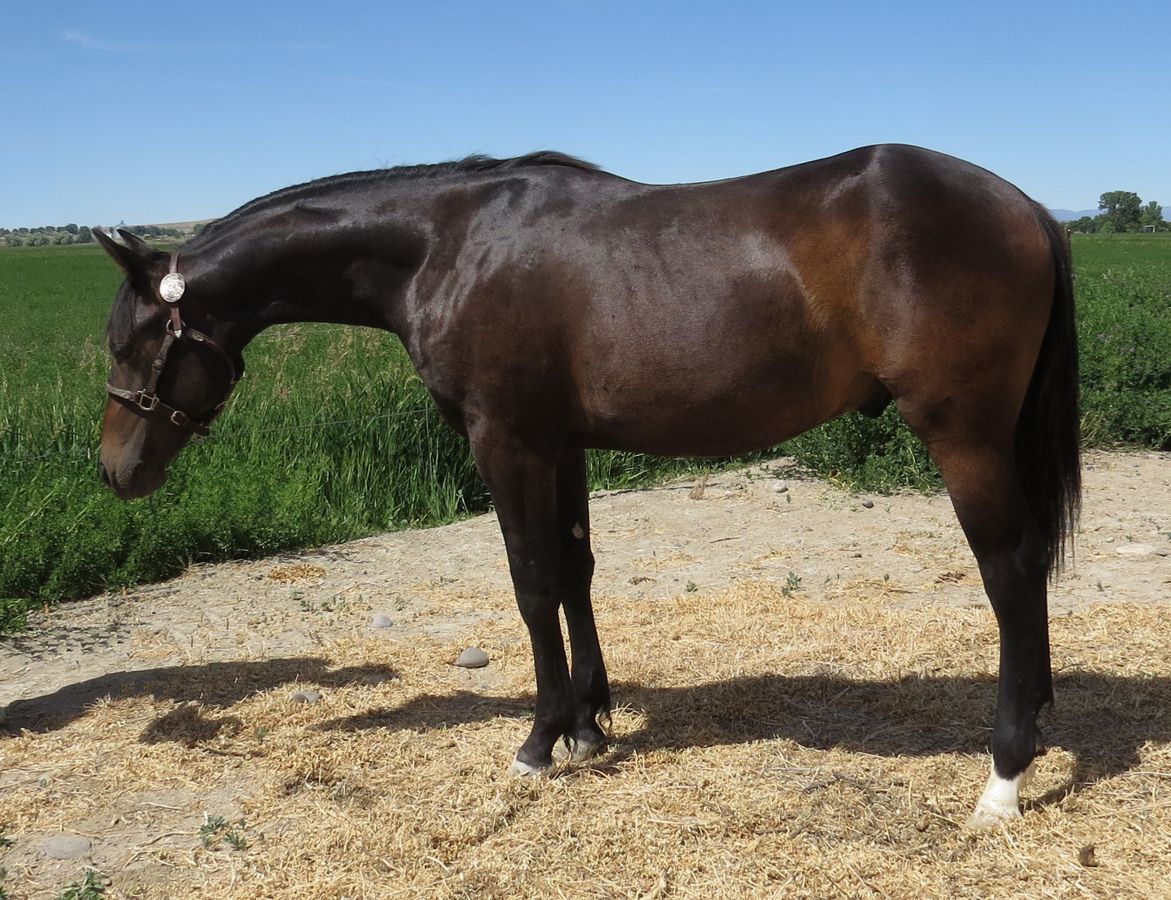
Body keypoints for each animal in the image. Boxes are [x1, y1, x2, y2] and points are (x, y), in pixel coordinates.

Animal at [95, 145, 1080, 829]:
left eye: (129, 341)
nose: (116, 472)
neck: (443, 247)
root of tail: (1024, 204)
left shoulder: (507, 444)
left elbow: (532, 584)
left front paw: (539, 742)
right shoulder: (560, 447)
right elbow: (575, 573)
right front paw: (588, 724)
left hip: (962, 435)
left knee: (1008, 569)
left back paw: (1003, 776)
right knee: (1028, 566)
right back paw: (1035, 717)